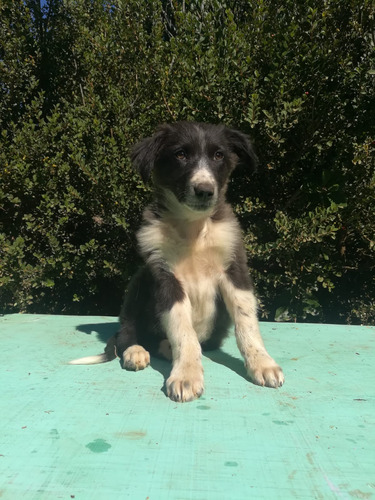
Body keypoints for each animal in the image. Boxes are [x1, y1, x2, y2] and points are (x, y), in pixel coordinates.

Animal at [70, 121, 284, 402]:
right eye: (180, 154)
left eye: (219, 155)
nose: (205, 191)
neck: (193, 227)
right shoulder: (165, 277)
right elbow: (184, 331)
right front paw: (186, 375)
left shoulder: (234, 268)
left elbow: (246, 322)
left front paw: (262, 363)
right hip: (139, 282)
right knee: (127, 331)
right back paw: (136, 351)